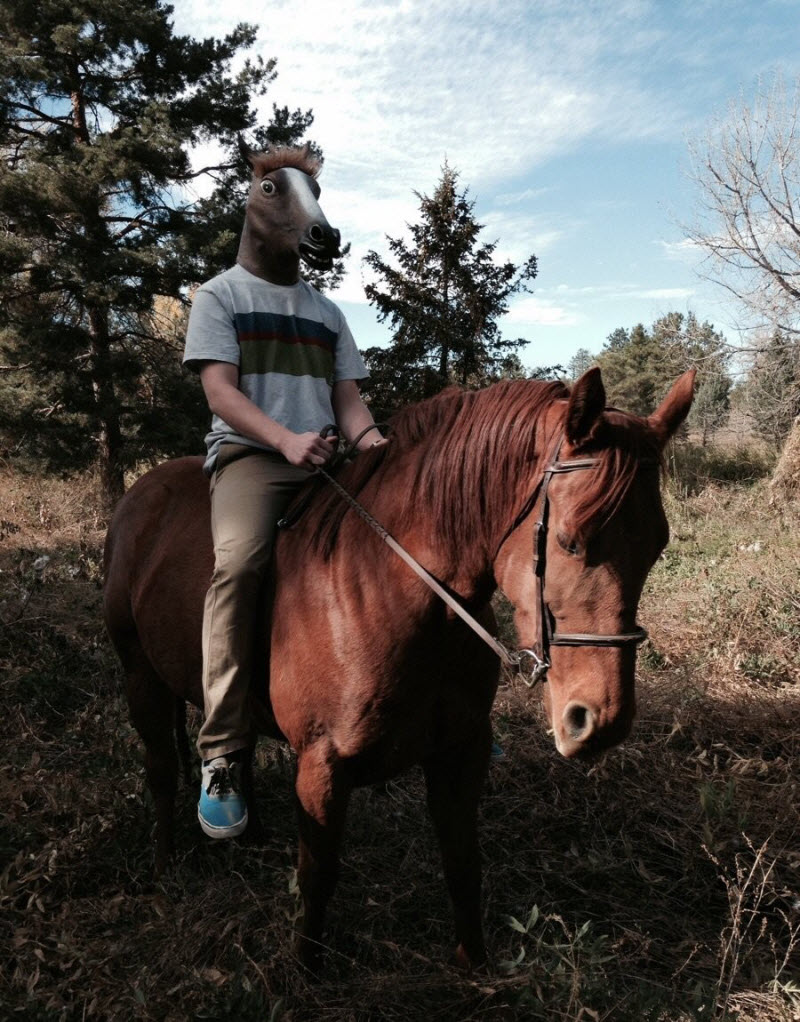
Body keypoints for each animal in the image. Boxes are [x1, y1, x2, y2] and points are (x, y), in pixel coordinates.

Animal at [104, 363, 694, 968]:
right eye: (571, 541)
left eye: (657, 546)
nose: (601, 722)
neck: (392, 590)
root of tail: (140, 493)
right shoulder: (321, 767)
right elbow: (318, 878)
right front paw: (306, 971)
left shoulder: (461, 751)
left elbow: (463, 863)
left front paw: (474, 965)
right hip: (140, 675)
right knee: (161, 769)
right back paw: (165, 869)